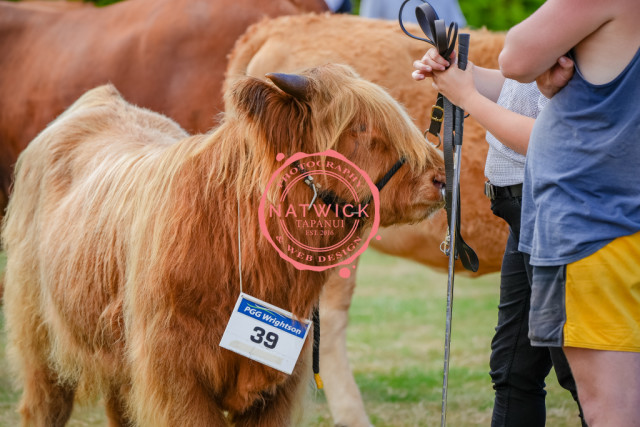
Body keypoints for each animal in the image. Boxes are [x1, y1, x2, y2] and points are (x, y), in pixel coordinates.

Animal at [2, 64, 445, 426]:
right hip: (38, 335)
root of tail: (102, 100)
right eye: (360, 128)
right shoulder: (175, 376)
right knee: (44, 405)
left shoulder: (278, 386)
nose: (441, 176)